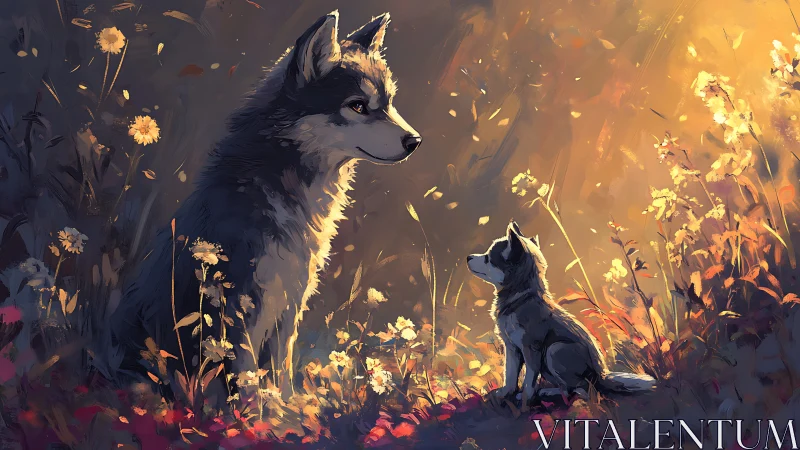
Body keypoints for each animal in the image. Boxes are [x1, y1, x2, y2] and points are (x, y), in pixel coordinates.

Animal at [111, 11, 421, 393]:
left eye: (389, 102)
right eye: (358, 106)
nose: (415, 141)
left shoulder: (287, 308)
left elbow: (280, 374)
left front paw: (287, 407)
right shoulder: (242, 311)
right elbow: (246, 382)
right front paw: (256, 411)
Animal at [467, 221, 656, 404]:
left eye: (488, 258)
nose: (468, 257)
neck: (521, 298)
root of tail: (601, 375)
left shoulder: (531, 348)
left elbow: (528, 380)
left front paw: (526, 400)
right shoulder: (511, 347)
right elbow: (510, 375)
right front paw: (505, 393)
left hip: (554, 350)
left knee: (584, 390)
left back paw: (551, 393)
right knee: (571, 388)